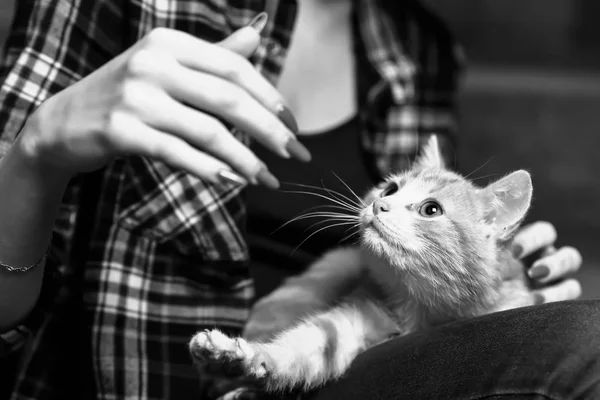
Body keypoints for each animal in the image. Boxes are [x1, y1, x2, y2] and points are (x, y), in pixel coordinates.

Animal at [186, 135, 536, 394]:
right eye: (390, 189)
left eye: (431, 209)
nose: (379, 205)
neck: (422, 305)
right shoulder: (358, 312)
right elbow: (312, 343)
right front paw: (245, 358)